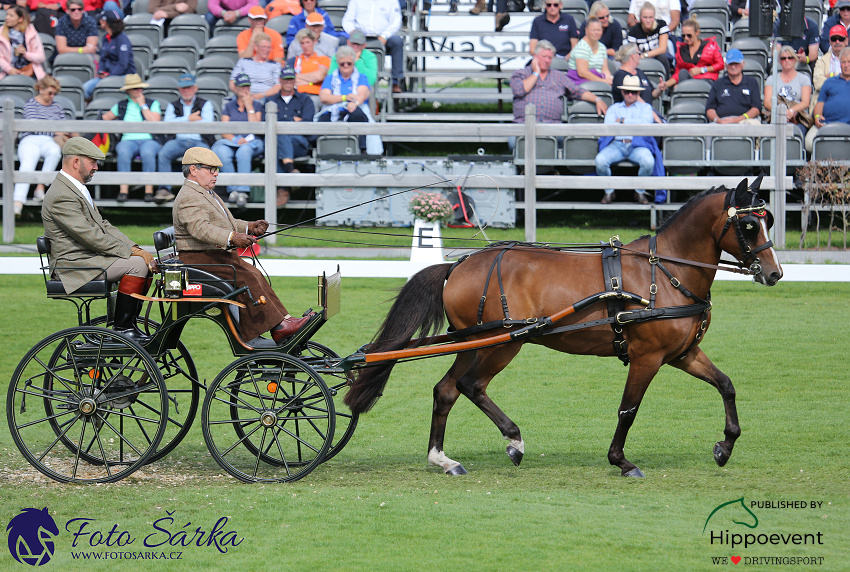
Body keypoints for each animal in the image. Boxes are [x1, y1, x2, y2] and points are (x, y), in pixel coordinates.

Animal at [342, 179, 780, 478]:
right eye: (749, 226)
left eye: (768, 221)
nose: (774, 273)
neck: (665, 273)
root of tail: (459, 265)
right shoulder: (648, 357)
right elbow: (628, 409)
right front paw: (621, 461)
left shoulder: (683, 354)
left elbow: (726, 385)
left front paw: (725, 446)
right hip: (501, 344)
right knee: (470, 386)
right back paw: (514, 441)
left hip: (474, 342)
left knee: (446, 390)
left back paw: (443, 459)